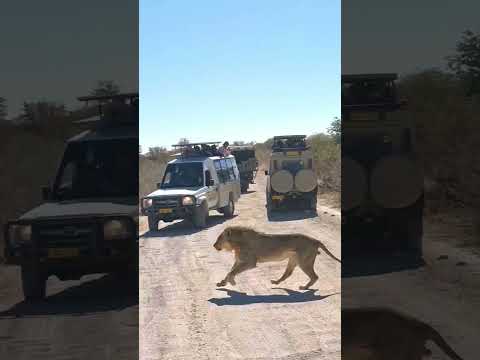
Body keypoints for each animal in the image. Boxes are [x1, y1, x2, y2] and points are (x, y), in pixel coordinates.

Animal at [214, 226, 342, 288]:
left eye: (219, 238)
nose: (213, 245)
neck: (236, 244)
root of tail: (316, 240)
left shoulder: (250, 262)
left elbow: (231, 272)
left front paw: (232, 282)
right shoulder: (239, 261)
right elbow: (230, 271)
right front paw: (222, 283)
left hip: (304, 262)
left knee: (315, 276)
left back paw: (304, 288)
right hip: (293, 260)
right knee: (288, 273)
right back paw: (276, 282)